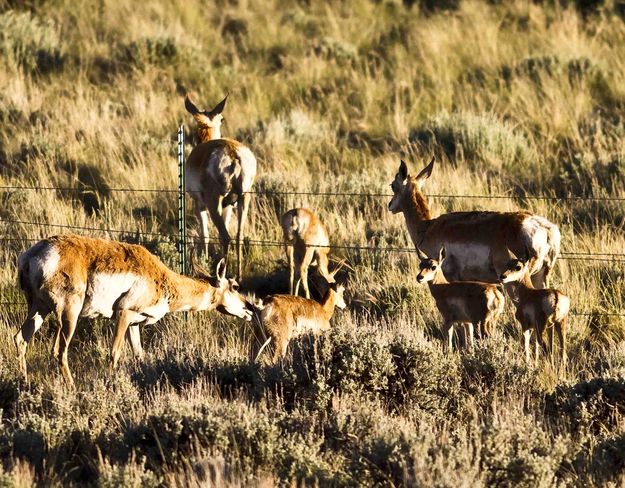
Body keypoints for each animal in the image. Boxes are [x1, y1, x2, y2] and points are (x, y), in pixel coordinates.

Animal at [15, 234, 249, 386]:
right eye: (235, 286)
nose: (249, 309)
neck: (161, 277)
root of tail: (31, 255)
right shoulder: (123, 314)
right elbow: (114, 352)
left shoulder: (134, 324)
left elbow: (139, 355)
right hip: (68, 314)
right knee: (58, 350)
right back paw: (72, 388)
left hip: (39, 308)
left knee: (21, 338)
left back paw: (23, 385)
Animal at [184, 94, 258, 280]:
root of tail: (234, 154)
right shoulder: (229, 206)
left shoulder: (199, 205)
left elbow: (205, 235)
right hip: (243, 199)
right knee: (238, 236)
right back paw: (237, 276)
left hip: (213, 203)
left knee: (226, 237)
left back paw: (220, 273)